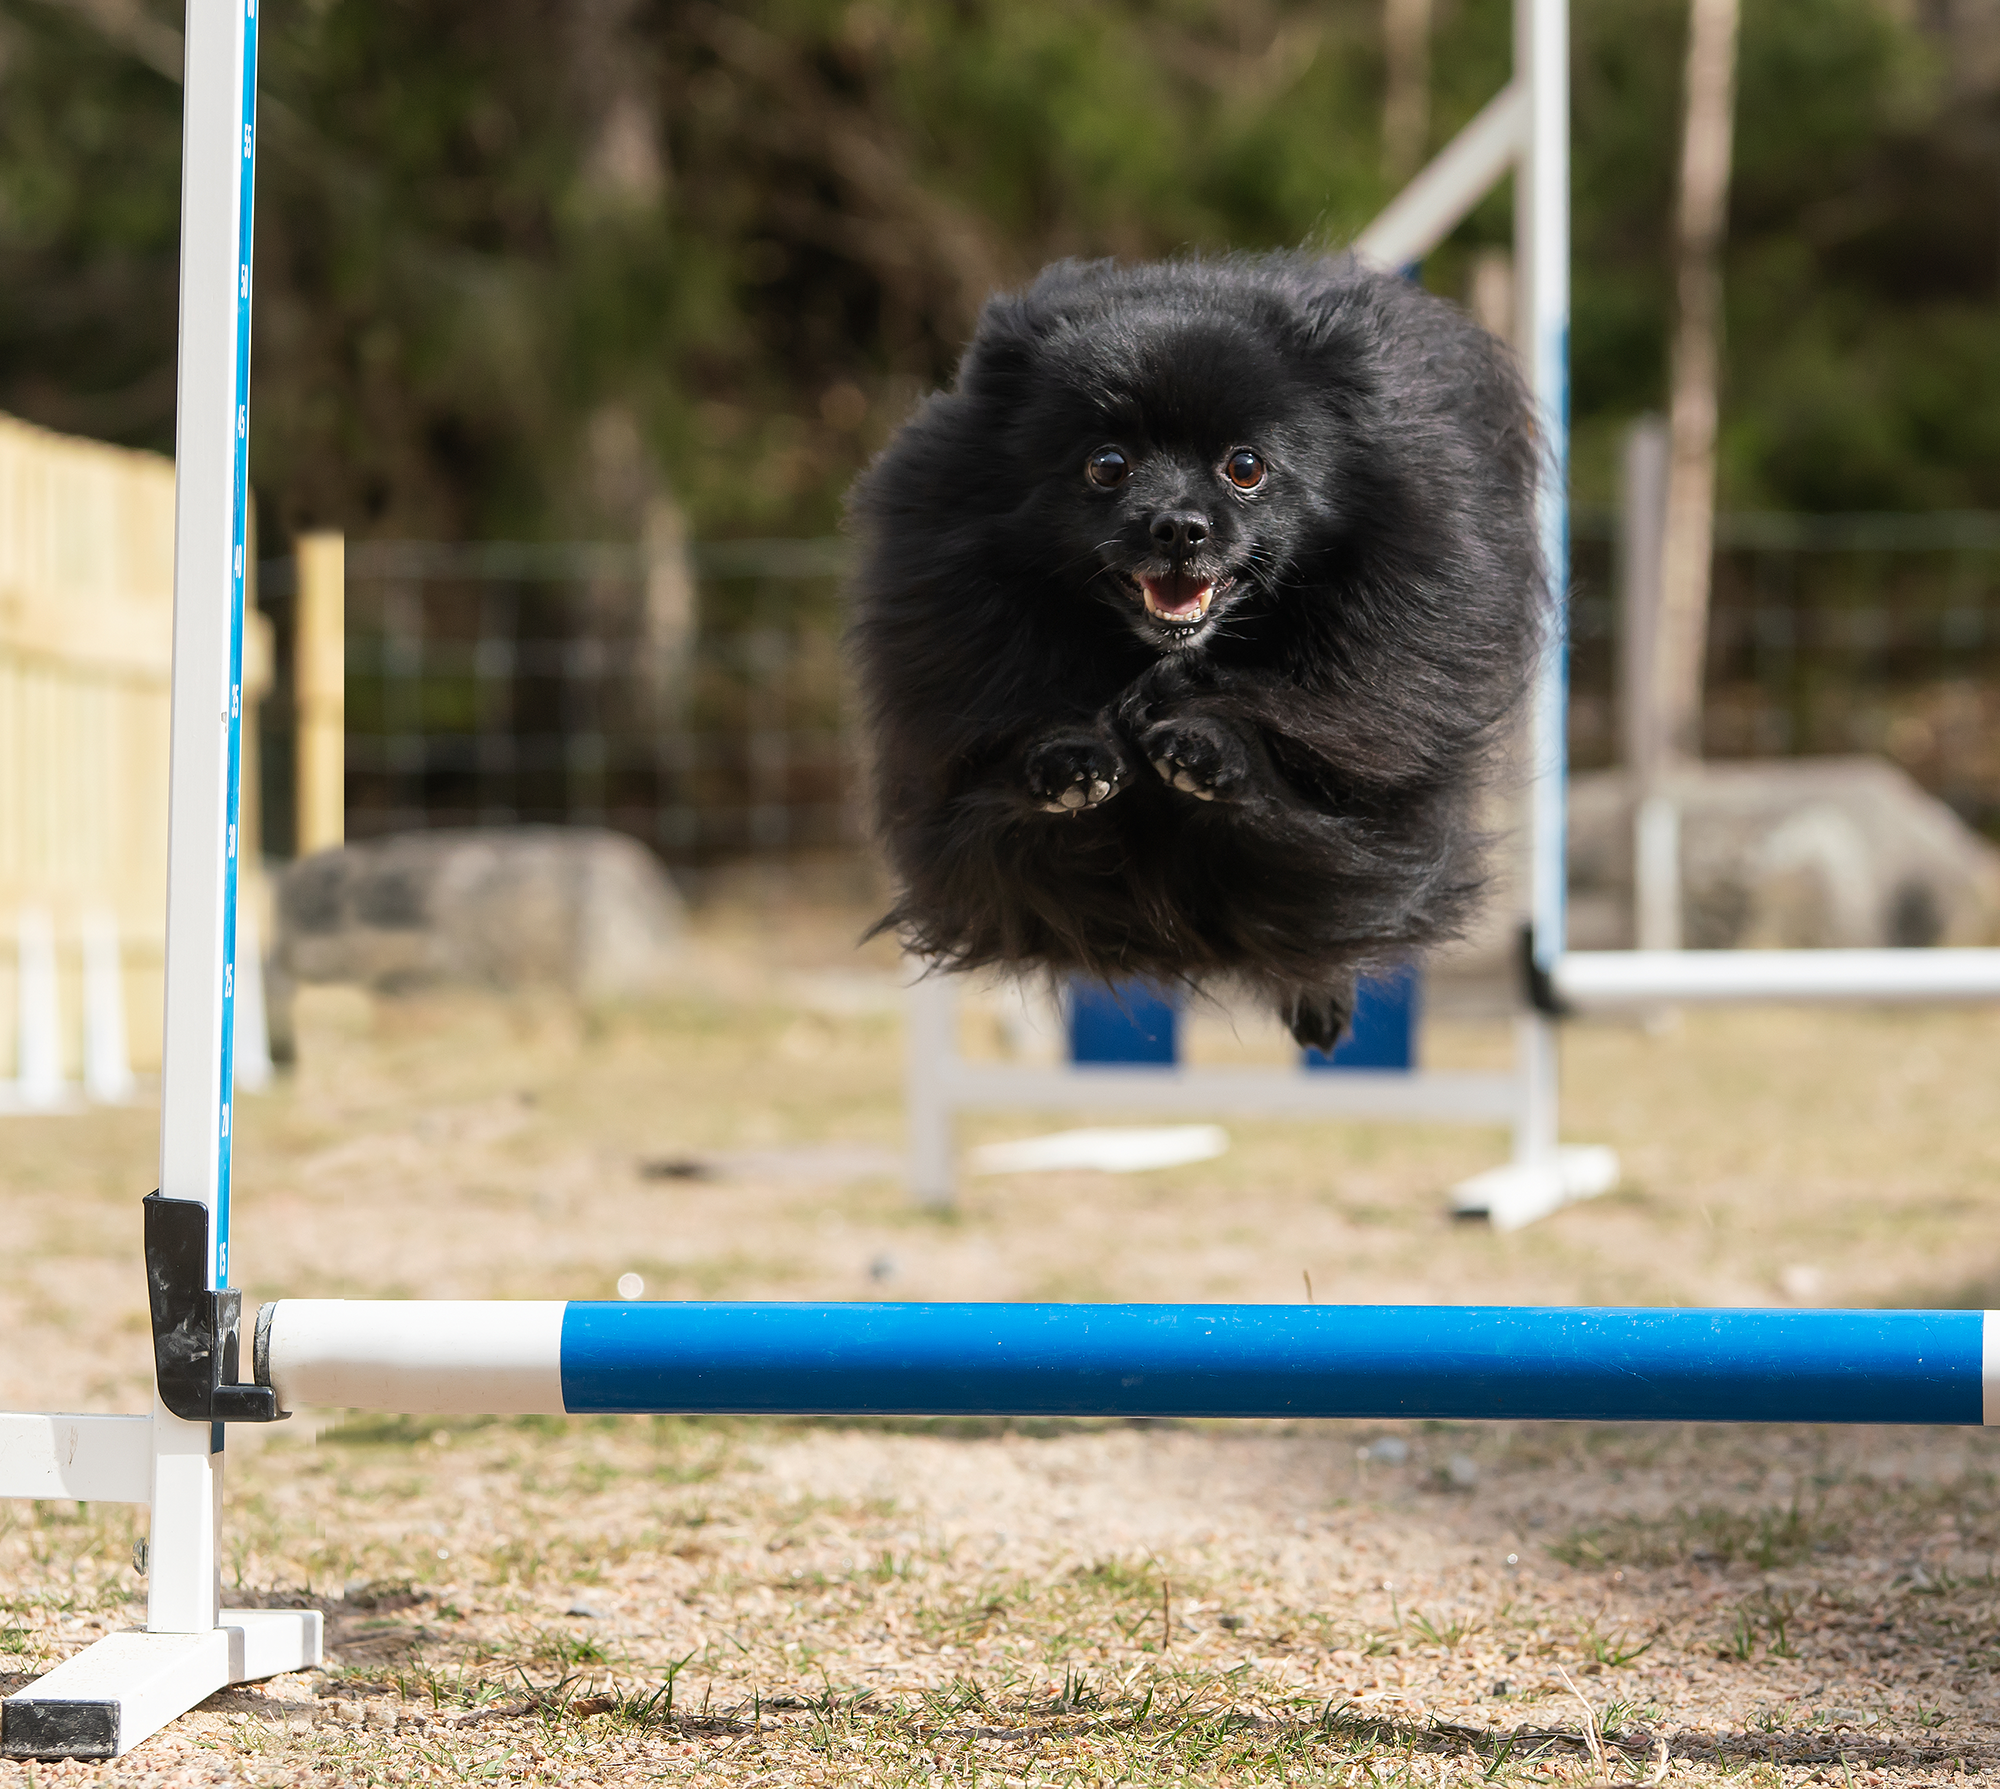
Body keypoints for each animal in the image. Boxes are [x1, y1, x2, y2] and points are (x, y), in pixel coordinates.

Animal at [844, 260, 1544, 1056]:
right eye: (1107, 465)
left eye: (1246, 467)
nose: (1179, 526)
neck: (1152, 661)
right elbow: (1015, 766)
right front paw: (1068, 762)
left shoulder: (1361, 755)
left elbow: (1284, 748)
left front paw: (1206, 745)